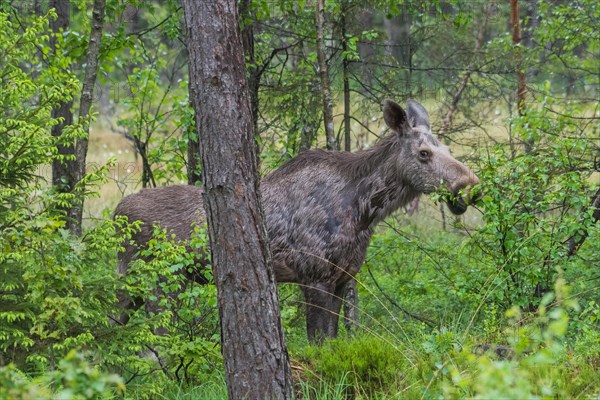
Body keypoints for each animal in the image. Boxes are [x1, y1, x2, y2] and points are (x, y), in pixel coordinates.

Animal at [113, 98, 478, 342]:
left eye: (447, 148)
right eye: (423, 154)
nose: (470, 186)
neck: (364, 212)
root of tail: (115, 214)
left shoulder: (343, 278)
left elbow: (334, 338)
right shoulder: (314, 276)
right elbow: (319, 340)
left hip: (137, 286)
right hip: (156, 282)